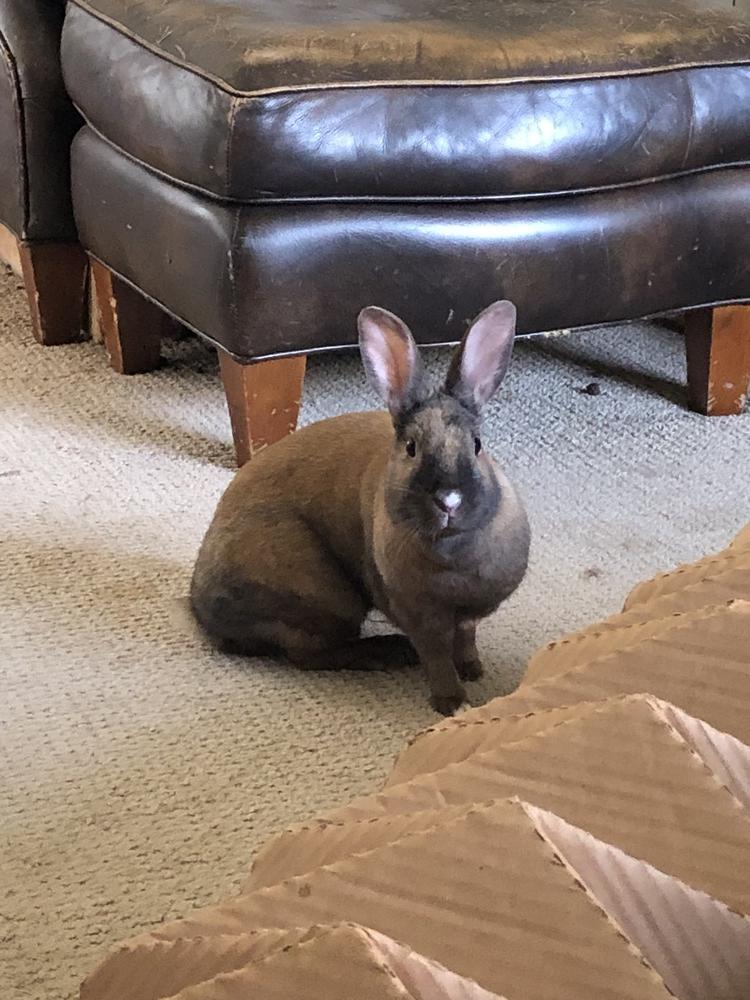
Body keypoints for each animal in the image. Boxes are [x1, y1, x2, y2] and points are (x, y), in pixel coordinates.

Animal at [190, 300, 530, 714]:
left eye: (477, 445)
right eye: (411, 448)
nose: (448, 500)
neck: (452, 553)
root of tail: (201, 607)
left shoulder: (470, 615)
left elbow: (466, 638)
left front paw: (473, 670)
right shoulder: (421, 618)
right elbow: (435, 657)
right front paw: (451, 701)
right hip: (322, 595)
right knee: (310, 655)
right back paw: (388, 652)